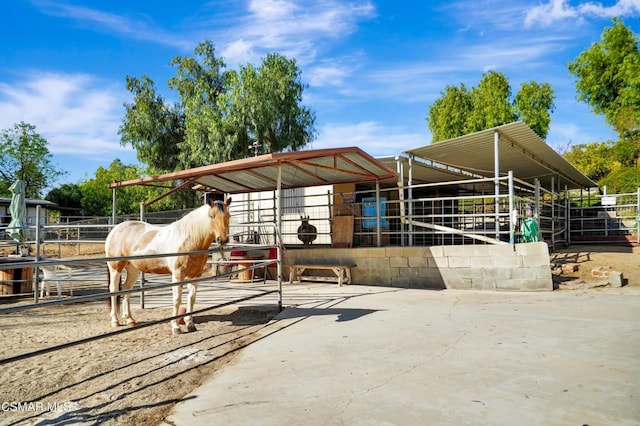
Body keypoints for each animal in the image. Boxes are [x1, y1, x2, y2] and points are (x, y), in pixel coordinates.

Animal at [105, 198, 232, 334]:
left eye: (228, 215)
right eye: (212, 216)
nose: (222, 240)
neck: (188, 239)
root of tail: (114, 230)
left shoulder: (195, 275)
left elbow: (191, 299)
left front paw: (190, 324)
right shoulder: (177, 274)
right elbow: (177, 299)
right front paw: (175, 327)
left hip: (133, 269)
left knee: (126, 289)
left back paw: (130, 320)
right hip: (115, 268)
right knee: (114, 289)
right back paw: (115, 321)